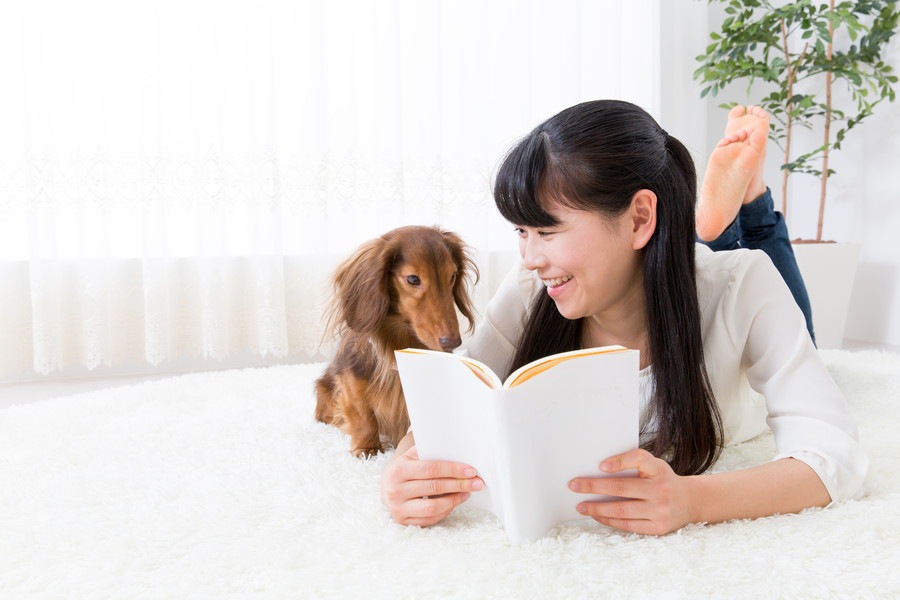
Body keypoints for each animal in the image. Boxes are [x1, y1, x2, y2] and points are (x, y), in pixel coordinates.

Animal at [314, 227, 474, 458]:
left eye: (452, 276)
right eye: (413, 279)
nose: (452, 342)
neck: (401, 338)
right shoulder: (350, 380)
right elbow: (362, 415)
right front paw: (367, 448)